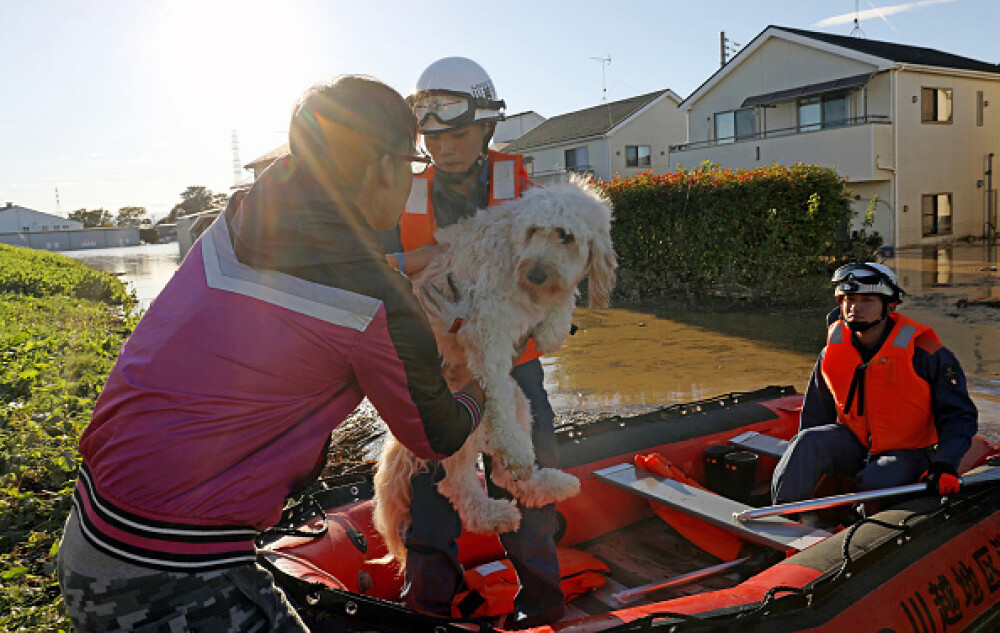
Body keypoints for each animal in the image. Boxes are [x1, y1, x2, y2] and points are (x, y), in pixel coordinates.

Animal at [372, 175, 612, 560]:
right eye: (532, 231)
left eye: (566, 236)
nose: (536, 273)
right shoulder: (486, 329)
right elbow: (494, 388)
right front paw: (513, 448)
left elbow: (561, 302)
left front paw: (552, 328)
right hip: (453, 421)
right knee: (456, 483)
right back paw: (492, 511)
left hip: (520, 402)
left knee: (500, 476)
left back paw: (548, 483)